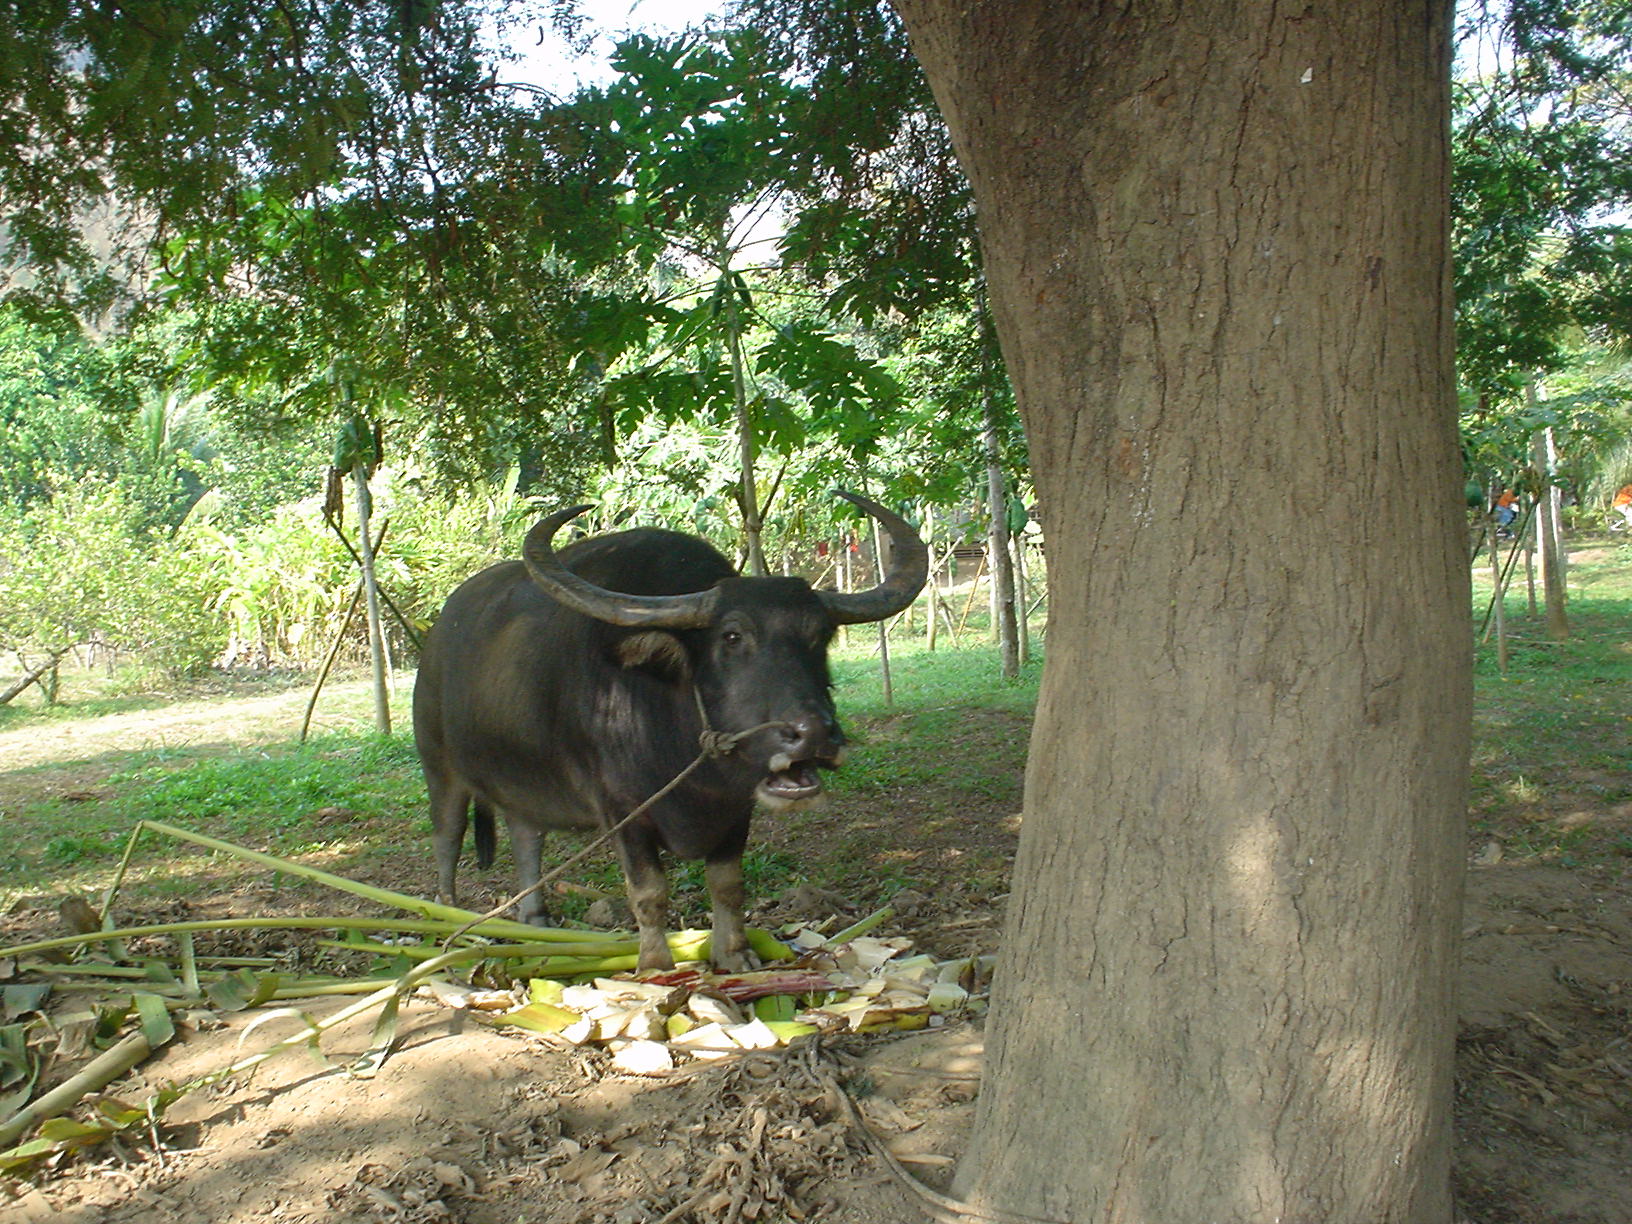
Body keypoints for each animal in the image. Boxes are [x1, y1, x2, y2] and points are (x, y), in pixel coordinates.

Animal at [411, 491, 927, 972]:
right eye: (732, 637)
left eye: (820, 635)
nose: (814, 734)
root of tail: (435, 639)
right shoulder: (622, 812)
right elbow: (649, 893)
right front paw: (657, 965)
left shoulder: (735, 809)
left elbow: (728, 885)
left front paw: (734, 953)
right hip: (439, 769)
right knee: (446, 840)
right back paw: (444, 921)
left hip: (521, 780)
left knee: (525, 837)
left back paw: (536, 919)